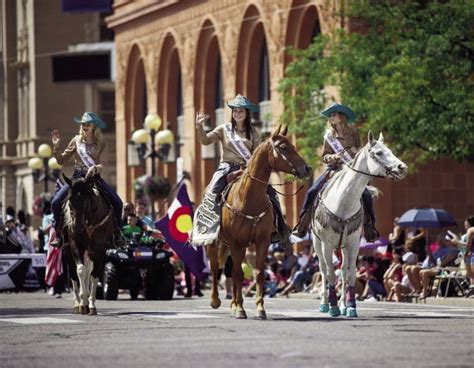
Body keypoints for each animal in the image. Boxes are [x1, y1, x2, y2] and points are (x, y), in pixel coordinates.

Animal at [207, 124, 312, 320]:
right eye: (284, 147)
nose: (307, 168)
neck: (248, 198)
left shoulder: (261, 241)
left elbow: (258, 273)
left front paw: (259, 309)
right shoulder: (234, 242)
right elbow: (238, 273)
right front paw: (241, 309)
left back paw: (233, 305)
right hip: (215, 243)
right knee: (216, 267)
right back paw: (216, 300)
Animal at [312, 132, 408, 316]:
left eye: (390, 150)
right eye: (378, 152)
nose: (402, 167)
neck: (343, 202)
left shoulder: (353, 243)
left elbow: (350, 274)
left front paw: (350, 306)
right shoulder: (327, 244)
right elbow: (330, 273)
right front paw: (333, 307)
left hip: (342, 246)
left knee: (342, 271)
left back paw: (343, 305)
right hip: (317, 243)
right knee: (323, 269)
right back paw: (324, 304)